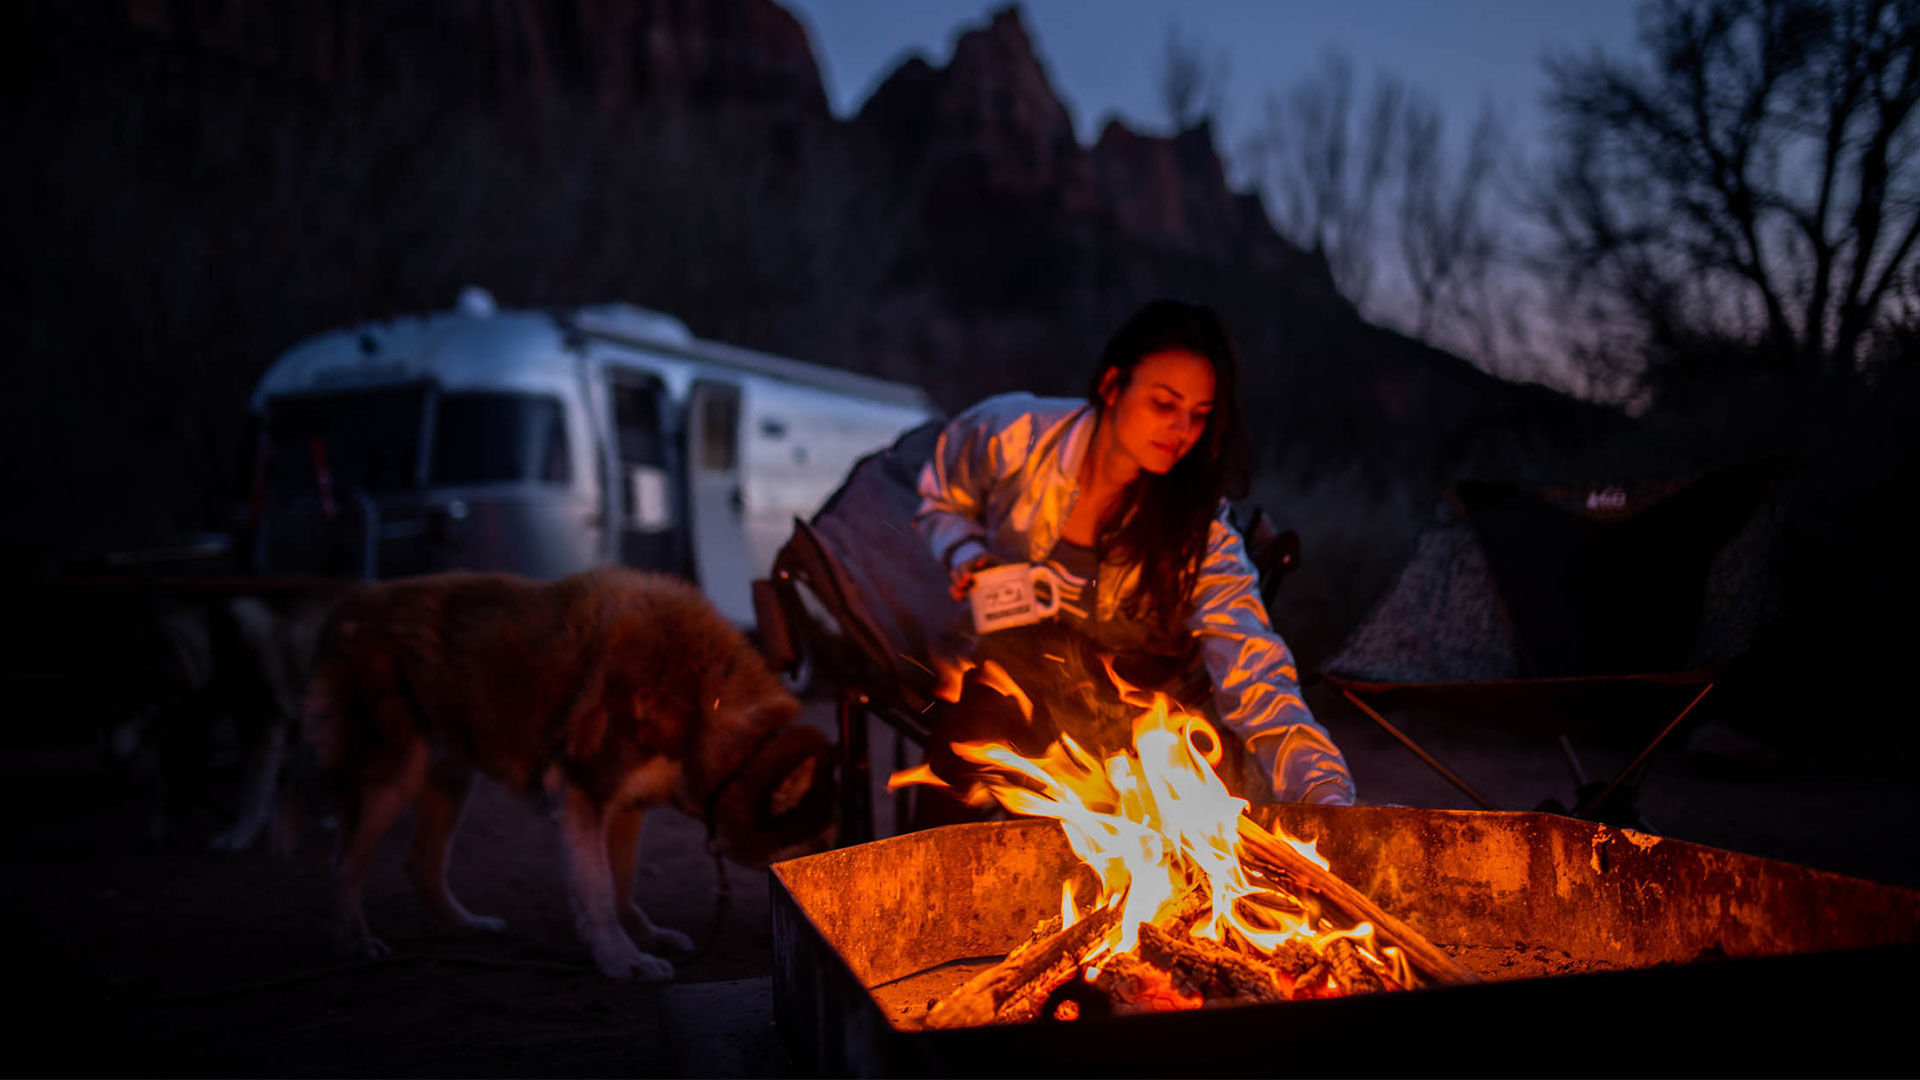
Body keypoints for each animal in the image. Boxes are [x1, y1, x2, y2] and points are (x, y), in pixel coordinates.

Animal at [307, 568, 833, 980]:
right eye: (818, 846)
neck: (709, 711)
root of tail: (351, 599)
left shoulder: (626, 808)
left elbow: (621, 884)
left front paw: (644, 936)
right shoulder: (583, 795)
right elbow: (597, 892)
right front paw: (622, 960)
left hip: (451, 776)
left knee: (421, 864)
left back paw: (465, 925)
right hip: (393, 774)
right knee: (342, 863)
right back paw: (356, 941)